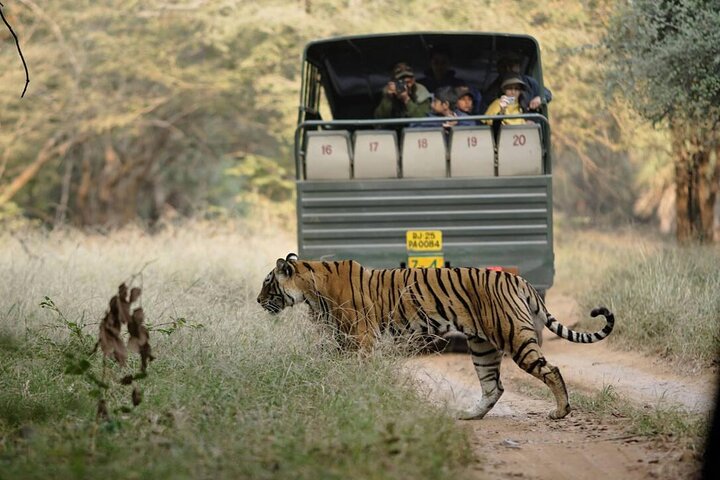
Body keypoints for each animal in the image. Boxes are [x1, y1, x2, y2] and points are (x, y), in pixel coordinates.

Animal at [256, 253, 615, 420]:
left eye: (267, 282)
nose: (258, 301)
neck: (310, 289)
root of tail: (519, 280)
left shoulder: (361, 339)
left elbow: (358, 370)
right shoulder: (340, 340)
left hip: (514, 336)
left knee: (550, 370)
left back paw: (561, 411)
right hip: (482, 347)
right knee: (493, 386)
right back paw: (470, 415)